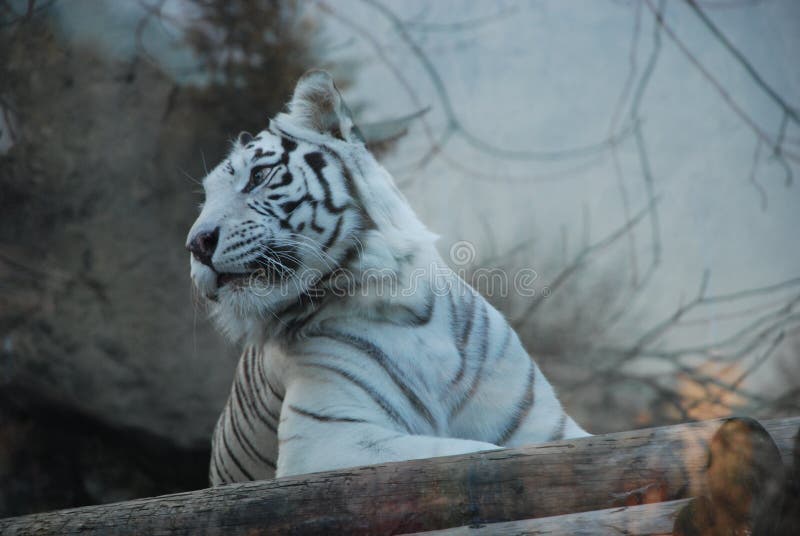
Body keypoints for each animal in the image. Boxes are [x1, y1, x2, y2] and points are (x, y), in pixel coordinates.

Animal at [186, 69, 588, 484]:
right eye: (206, 198)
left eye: (259, 175)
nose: (196, 244)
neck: (409, 304)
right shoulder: (328, 438)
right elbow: (472, 451)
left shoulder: (546, 424)